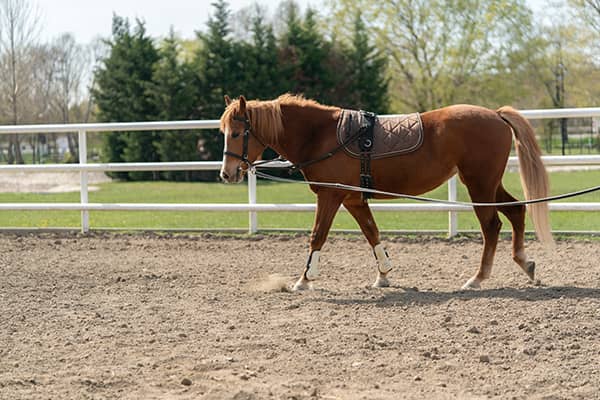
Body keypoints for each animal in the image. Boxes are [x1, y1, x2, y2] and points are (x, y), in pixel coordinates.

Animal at [218, 94, 552, 290]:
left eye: (236, 133)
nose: (227, 174)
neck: (321, 135)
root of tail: (495, 114)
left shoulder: (330, 195)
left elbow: (317, 236)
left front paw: (304, 279)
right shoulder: (353, 199)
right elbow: (372, 233)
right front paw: (384, 274)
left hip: (479, 184)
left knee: (492, 226)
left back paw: (478, 278)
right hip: (489, 184)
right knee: (516, 211)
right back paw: (526, 264)